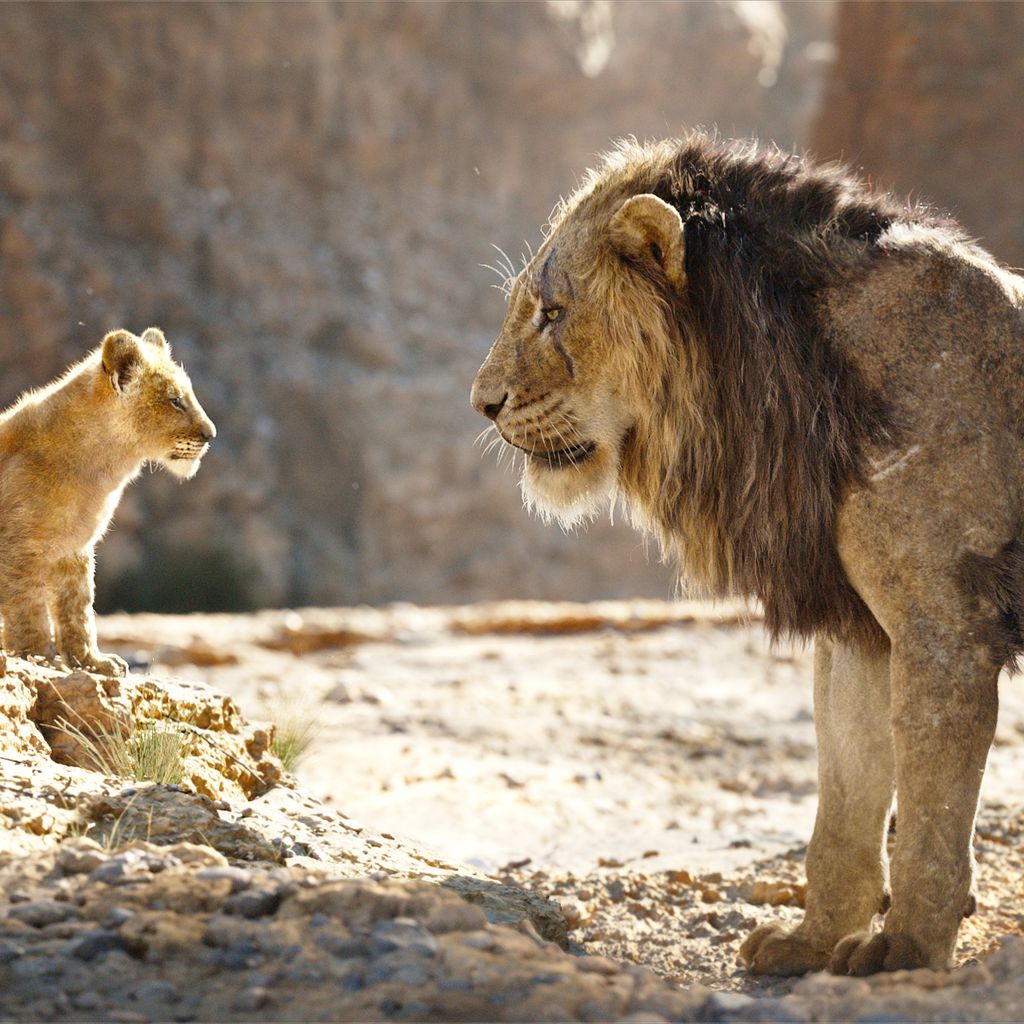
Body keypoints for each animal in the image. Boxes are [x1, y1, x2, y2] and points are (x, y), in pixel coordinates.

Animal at [0, 327, 215, 677]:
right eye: (175, 401)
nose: (211, 435)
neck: (102, 469)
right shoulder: (18, 549)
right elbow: (27, 608)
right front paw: (37, 657)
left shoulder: (74, 550)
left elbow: (78, 610)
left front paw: (91, 662)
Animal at [471, 132, 1024, 976]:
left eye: (554, 313)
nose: (483, 403)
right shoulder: (860, 628)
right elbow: (845, 793)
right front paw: (813, 940)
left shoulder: (944, 625)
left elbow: (930, 808)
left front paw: (905, 950)